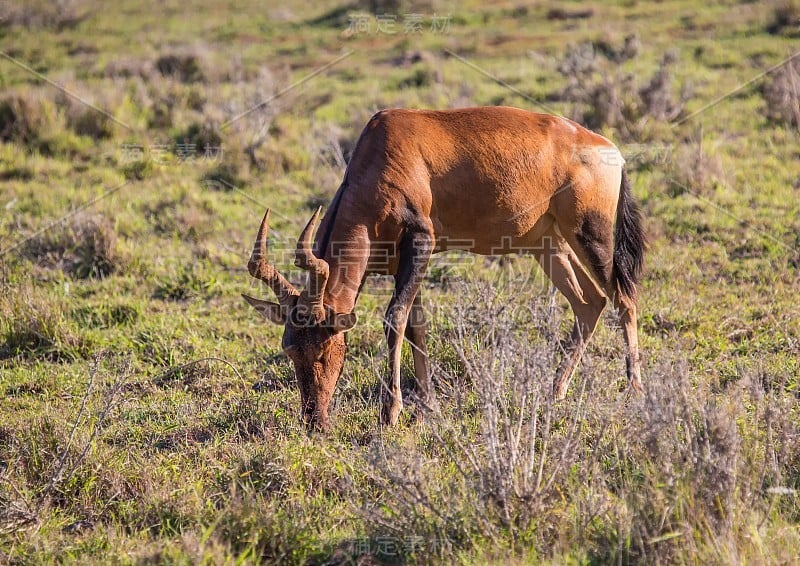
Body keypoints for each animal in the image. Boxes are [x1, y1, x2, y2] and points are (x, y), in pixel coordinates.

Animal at [242, 106, 644, 432]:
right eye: (290, 351)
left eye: (325, 350)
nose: (316, 422)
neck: (385, 149)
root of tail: (610, 149)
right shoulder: (400, 261)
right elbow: (416, 325)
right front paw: (426, 408)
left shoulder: (421, 242)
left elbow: (395, 318)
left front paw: (390, 413)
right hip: (547, 242)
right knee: (589, 302)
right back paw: (555, 392)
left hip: (589, 233)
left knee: (623, 298)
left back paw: (634, 391)